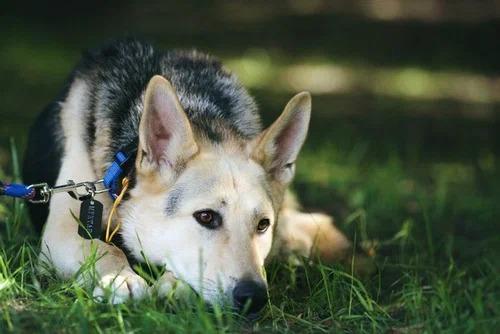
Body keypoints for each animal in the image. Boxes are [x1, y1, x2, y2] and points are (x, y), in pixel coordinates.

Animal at [22, 39, 352, 316]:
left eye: (262, 225)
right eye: (206, 217)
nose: (254, 298)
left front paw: (175, 284)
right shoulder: (61, 233)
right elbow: (106, 249)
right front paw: (120, 278)